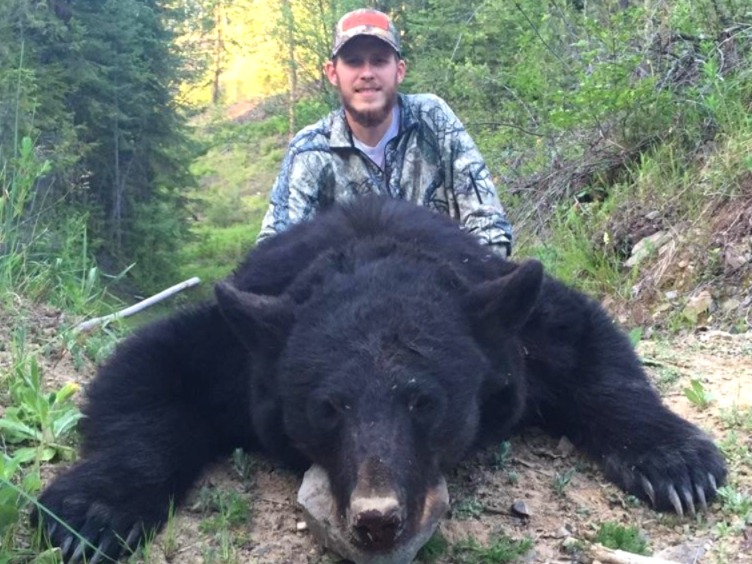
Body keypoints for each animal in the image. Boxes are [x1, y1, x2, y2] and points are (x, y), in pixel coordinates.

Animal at [33, 196, 726, 563]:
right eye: (328, 407)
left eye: (424, 402)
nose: (377, 519)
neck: (373, 252)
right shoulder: (240, 342)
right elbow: (147, 369)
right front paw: (92, 511)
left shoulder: (511, 319)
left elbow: (591, 345)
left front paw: (678, 465)